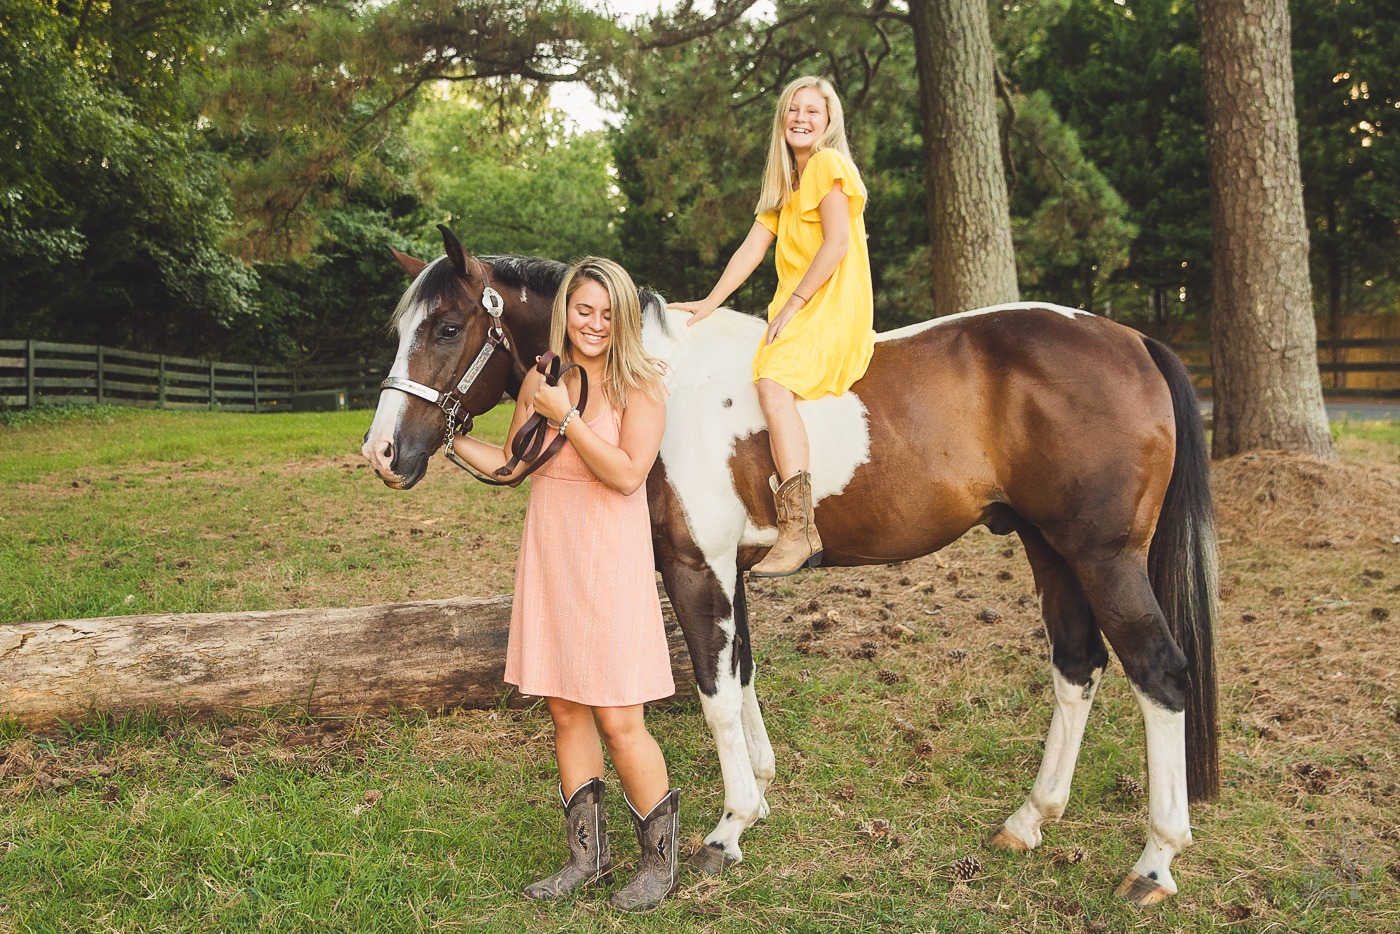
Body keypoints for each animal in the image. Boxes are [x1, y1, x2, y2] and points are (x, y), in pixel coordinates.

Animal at [361, 229, 1215, 907]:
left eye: (447, 326)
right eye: (398, 329)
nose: (383, 453)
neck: (660, 384)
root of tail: (1134, 341)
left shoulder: (695, 566)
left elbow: (713, 694)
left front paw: (727, 830)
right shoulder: (731, 567)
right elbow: (741, 674)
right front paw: (760, 798)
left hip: (1103, 558)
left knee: (1160, 674)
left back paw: (1154, 862)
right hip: (1051, 550)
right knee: (1077, 667)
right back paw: (1029, 822)